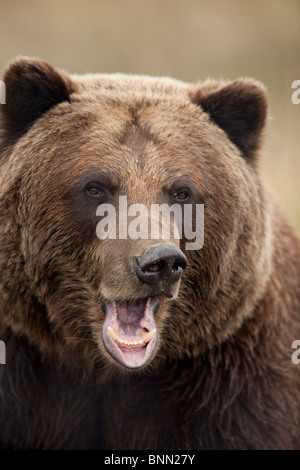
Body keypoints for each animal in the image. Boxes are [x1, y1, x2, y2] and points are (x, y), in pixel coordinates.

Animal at [0, 57, 298, 450]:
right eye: (95, 187)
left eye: (182, 192)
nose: (159, 262)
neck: (106, 372)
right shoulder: (22, 372)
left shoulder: (238, 380)